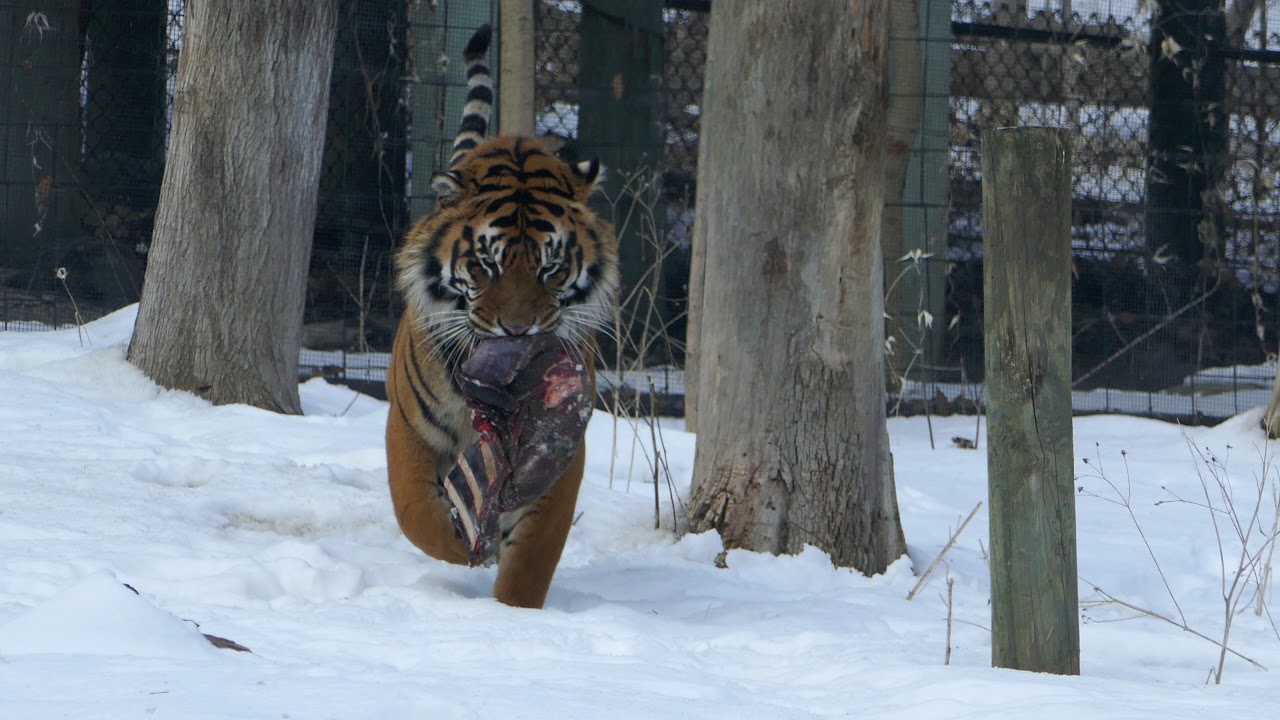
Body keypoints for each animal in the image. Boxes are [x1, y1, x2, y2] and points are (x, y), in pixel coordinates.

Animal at [385, 24, 620, 609]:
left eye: (551, 267)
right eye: (485, 264)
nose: (518, 331)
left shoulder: (560, 450)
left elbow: (532, 557)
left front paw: (514, 613)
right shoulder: (410, 426)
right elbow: (414, 510)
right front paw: (454, 540)